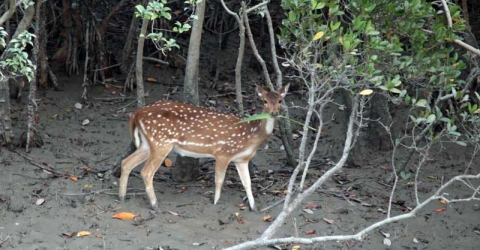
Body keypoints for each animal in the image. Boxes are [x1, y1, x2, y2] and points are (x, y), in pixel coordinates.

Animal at [119, 84, 288, 211]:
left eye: (280, 100)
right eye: (264, 101)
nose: (274, 113)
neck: (251, 135)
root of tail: (136, 113)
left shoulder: (242, 159)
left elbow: (247, 183)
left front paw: (254, 207)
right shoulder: (223, 152)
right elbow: (219, 180)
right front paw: (215, 203)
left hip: (147, 143)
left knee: (126, 163)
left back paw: (122, 196)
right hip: (161, 142)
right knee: (146, 172)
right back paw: (155, 205)